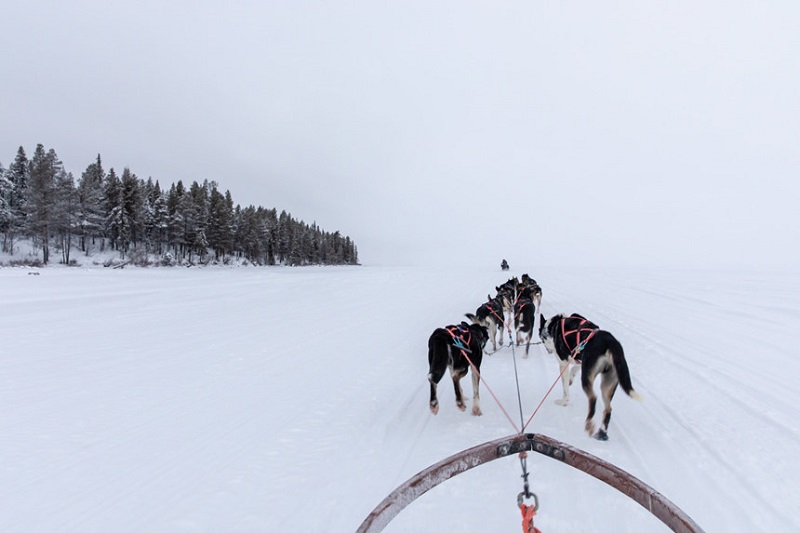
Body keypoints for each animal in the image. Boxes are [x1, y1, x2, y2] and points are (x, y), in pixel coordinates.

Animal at [536, 312, 644, 440]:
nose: (548, 350)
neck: (554, 326)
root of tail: (611, 343)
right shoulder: (579, 358)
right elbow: (574, 369)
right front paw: (571, 378)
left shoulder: (564, 363)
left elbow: (566, 389)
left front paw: (563, 401)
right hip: (607, 383)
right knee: (608, 409)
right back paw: (601, 433)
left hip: (587, 377)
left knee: (593, 398)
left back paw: (589, 425)